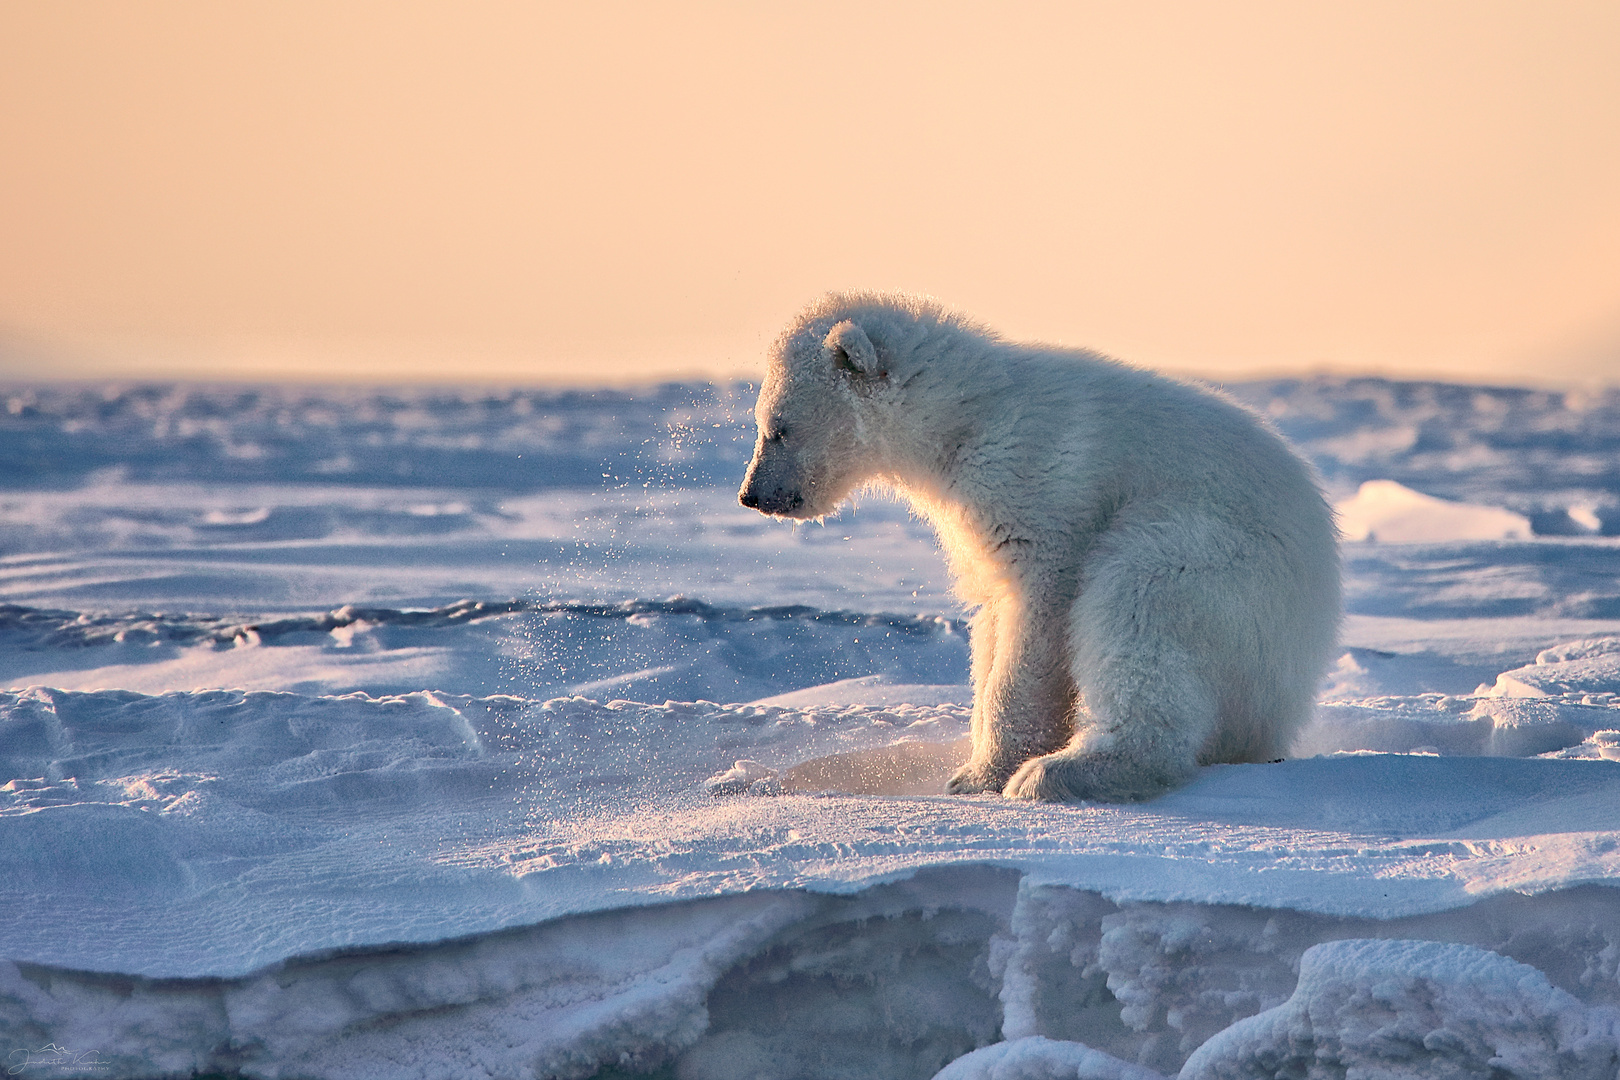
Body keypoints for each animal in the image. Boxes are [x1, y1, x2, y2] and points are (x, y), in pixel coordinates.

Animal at [738, 291, 1341, 799]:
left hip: (1220, 566)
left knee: (1139, 602)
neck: (969, 416)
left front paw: (990, 773)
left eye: (778, 427)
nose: (752, 496)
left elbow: (1039, 613)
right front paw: (969, 769)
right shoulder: (975, 523)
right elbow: (991, 618)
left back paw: (1061, 772)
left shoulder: (1041, 488)